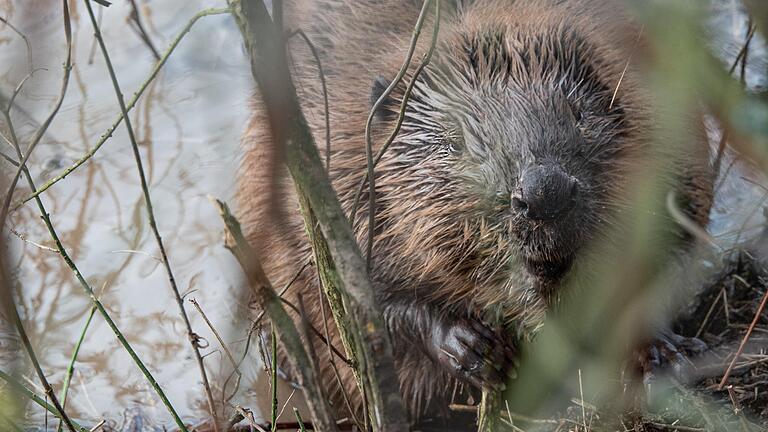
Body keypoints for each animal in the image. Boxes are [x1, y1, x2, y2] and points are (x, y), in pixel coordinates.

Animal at [238, 0, 712, 422]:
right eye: (458, 141)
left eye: (579, 114)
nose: (544, 191)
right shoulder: (332, 175)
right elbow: (355, 301)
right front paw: (475, 349)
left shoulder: (671, 133)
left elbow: (675, 243)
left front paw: (663, 352)